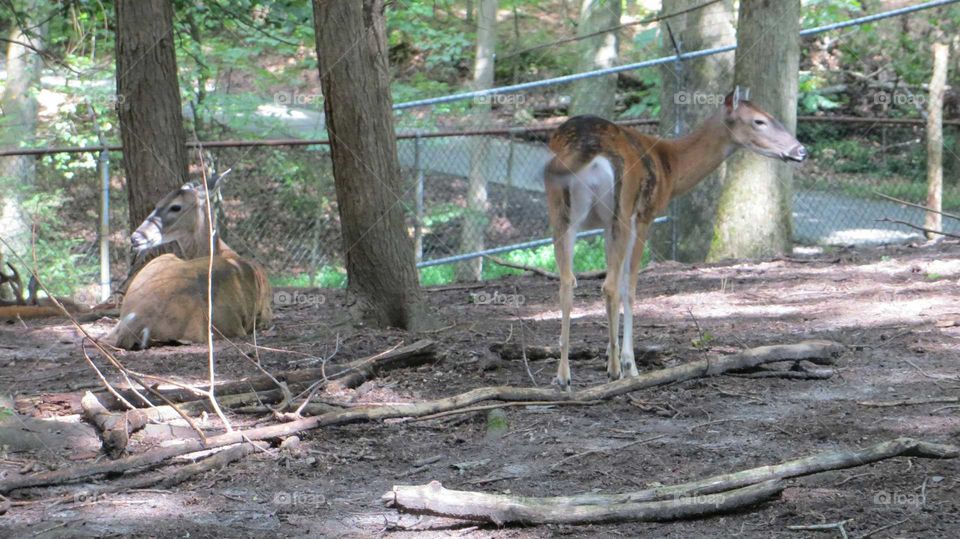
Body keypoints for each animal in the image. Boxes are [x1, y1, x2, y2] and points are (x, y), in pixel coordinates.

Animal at [545, 88, 806, 390]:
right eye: (759, 121)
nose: (801, 150)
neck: (669, 164)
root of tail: (587, 150)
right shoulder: (643, 215)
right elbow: (628, 288)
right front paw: (629, 365)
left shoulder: (607, 225)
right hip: (620, 209)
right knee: (610, 286)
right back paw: (614, 371)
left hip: (560, 214)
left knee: (567, 281)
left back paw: (563, 377)